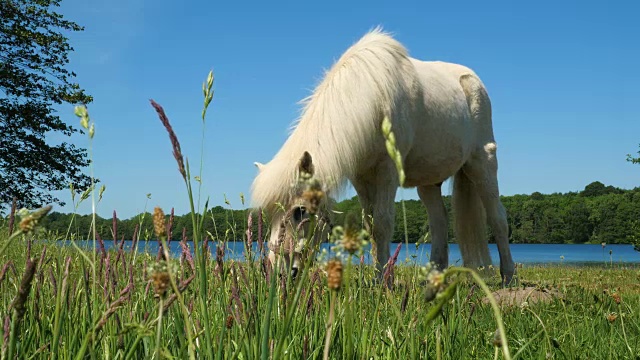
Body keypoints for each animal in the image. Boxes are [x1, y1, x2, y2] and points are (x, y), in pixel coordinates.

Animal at [249, 26, 516, 286]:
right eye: (269, 212)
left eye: (300, 211)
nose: (276, 272)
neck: (370, 100)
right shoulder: (361, 178)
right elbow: (371, 225)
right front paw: (382, 277)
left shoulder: (388, 171)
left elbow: (383, 224)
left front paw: (383, 281)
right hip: (429, 181)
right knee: (439, 221)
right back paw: (433, 278)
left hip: (482, 164)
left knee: (498, 217)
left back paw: (508, 275)